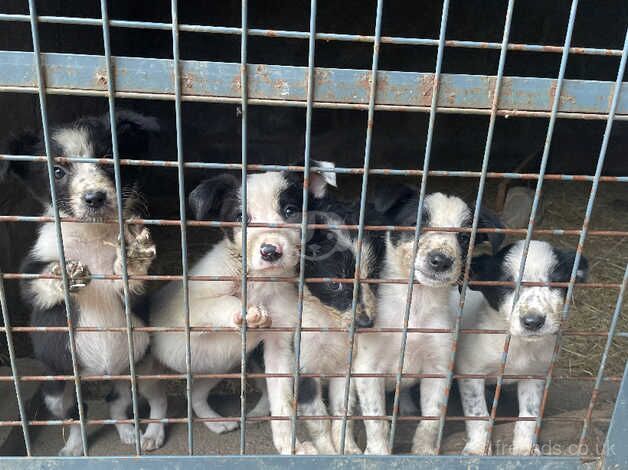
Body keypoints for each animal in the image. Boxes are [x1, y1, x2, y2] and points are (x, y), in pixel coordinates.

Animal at [7, 110, 164, 456]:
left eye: (108, 159)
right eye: (57, 170)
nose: (95, 197)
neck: (91, 235)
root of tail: (102, 374)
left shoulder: (136, 290)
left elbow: (130, 277)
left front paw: (131, 257)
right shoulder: (30, 267)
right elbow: (36, 283)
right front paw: (63, 275)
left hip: (141, 368)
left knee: (142, 402)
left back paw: (147, 434)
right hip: (57, 387)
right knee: (81, 413)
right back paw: (76, 447)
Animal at [150, 162, 336, 456]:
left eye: (290, 211)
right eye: (240, 217)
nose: (270, 251)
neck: (260, 282)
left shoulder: (278, 346)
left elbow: (282, 401)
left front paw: (289, 445)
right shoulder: (188, 310)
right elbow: (224, 301)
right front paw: (249, 311)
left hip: (219, 364)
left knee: (195, 394)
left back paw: (216, 423)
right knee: (157, 401)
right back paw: (151, 433)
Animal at [350, 187, 502, 456]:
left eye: (464, 238)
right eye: (416, 224)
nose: (440, 260)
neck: (416, 306)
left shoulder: (438, 370)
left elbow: (430, 421)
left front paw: (424, 452)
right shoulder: (367, 369)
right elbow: (377, 421)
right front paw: (378, 452)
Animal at [454, 241, 588, 454]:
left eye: (557, 282)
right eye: (506, 285)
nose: (533, 322)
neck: (518, 345)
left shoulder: (535, 375)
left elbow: (528, 416)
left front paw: (525, 448)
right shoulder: (470, 373)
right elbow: (478, 414)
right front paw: (478, 448)